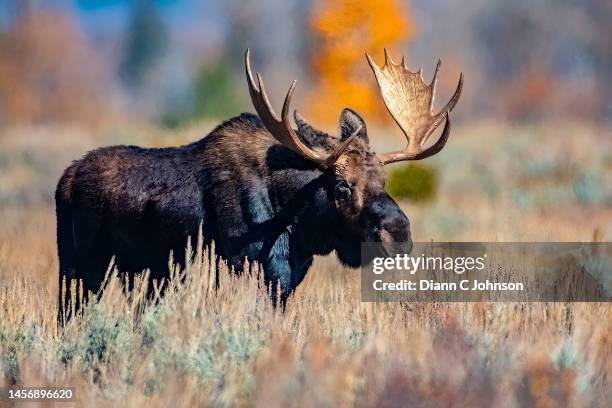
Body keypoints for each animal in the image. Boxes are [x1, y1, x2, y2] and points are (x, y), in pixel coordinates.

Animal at [57, 48, 462, 318]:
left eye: (384, 178)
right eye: (342, 186)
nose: (399, 232)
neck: (296, 220)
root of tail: (66, 180)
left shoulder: (287, 276)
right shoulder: (250, 266)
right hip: (82, 267)